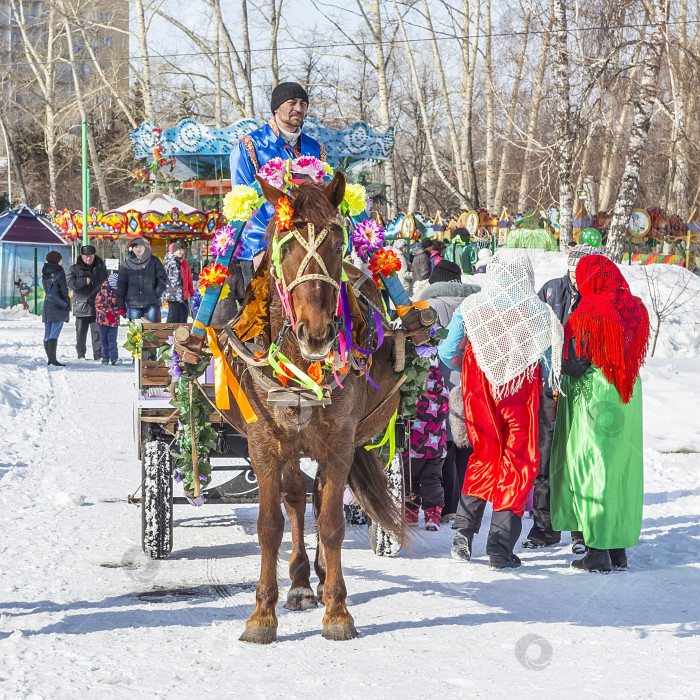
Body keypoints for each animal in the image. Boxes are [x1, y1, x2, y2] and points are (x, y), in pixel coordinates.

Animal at [217, 171, 404, 644]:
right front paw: (261, 615)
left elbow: (332, 523)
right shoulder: (264, 443)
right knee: (296, 500)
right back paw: (300, 582)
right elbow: (270, 525)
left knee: (317, 497)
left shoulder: (339, 442)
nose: (317, 334)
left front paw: (338, 610)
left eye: (338, 243)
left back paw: (316, 579)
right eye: (284, 246)